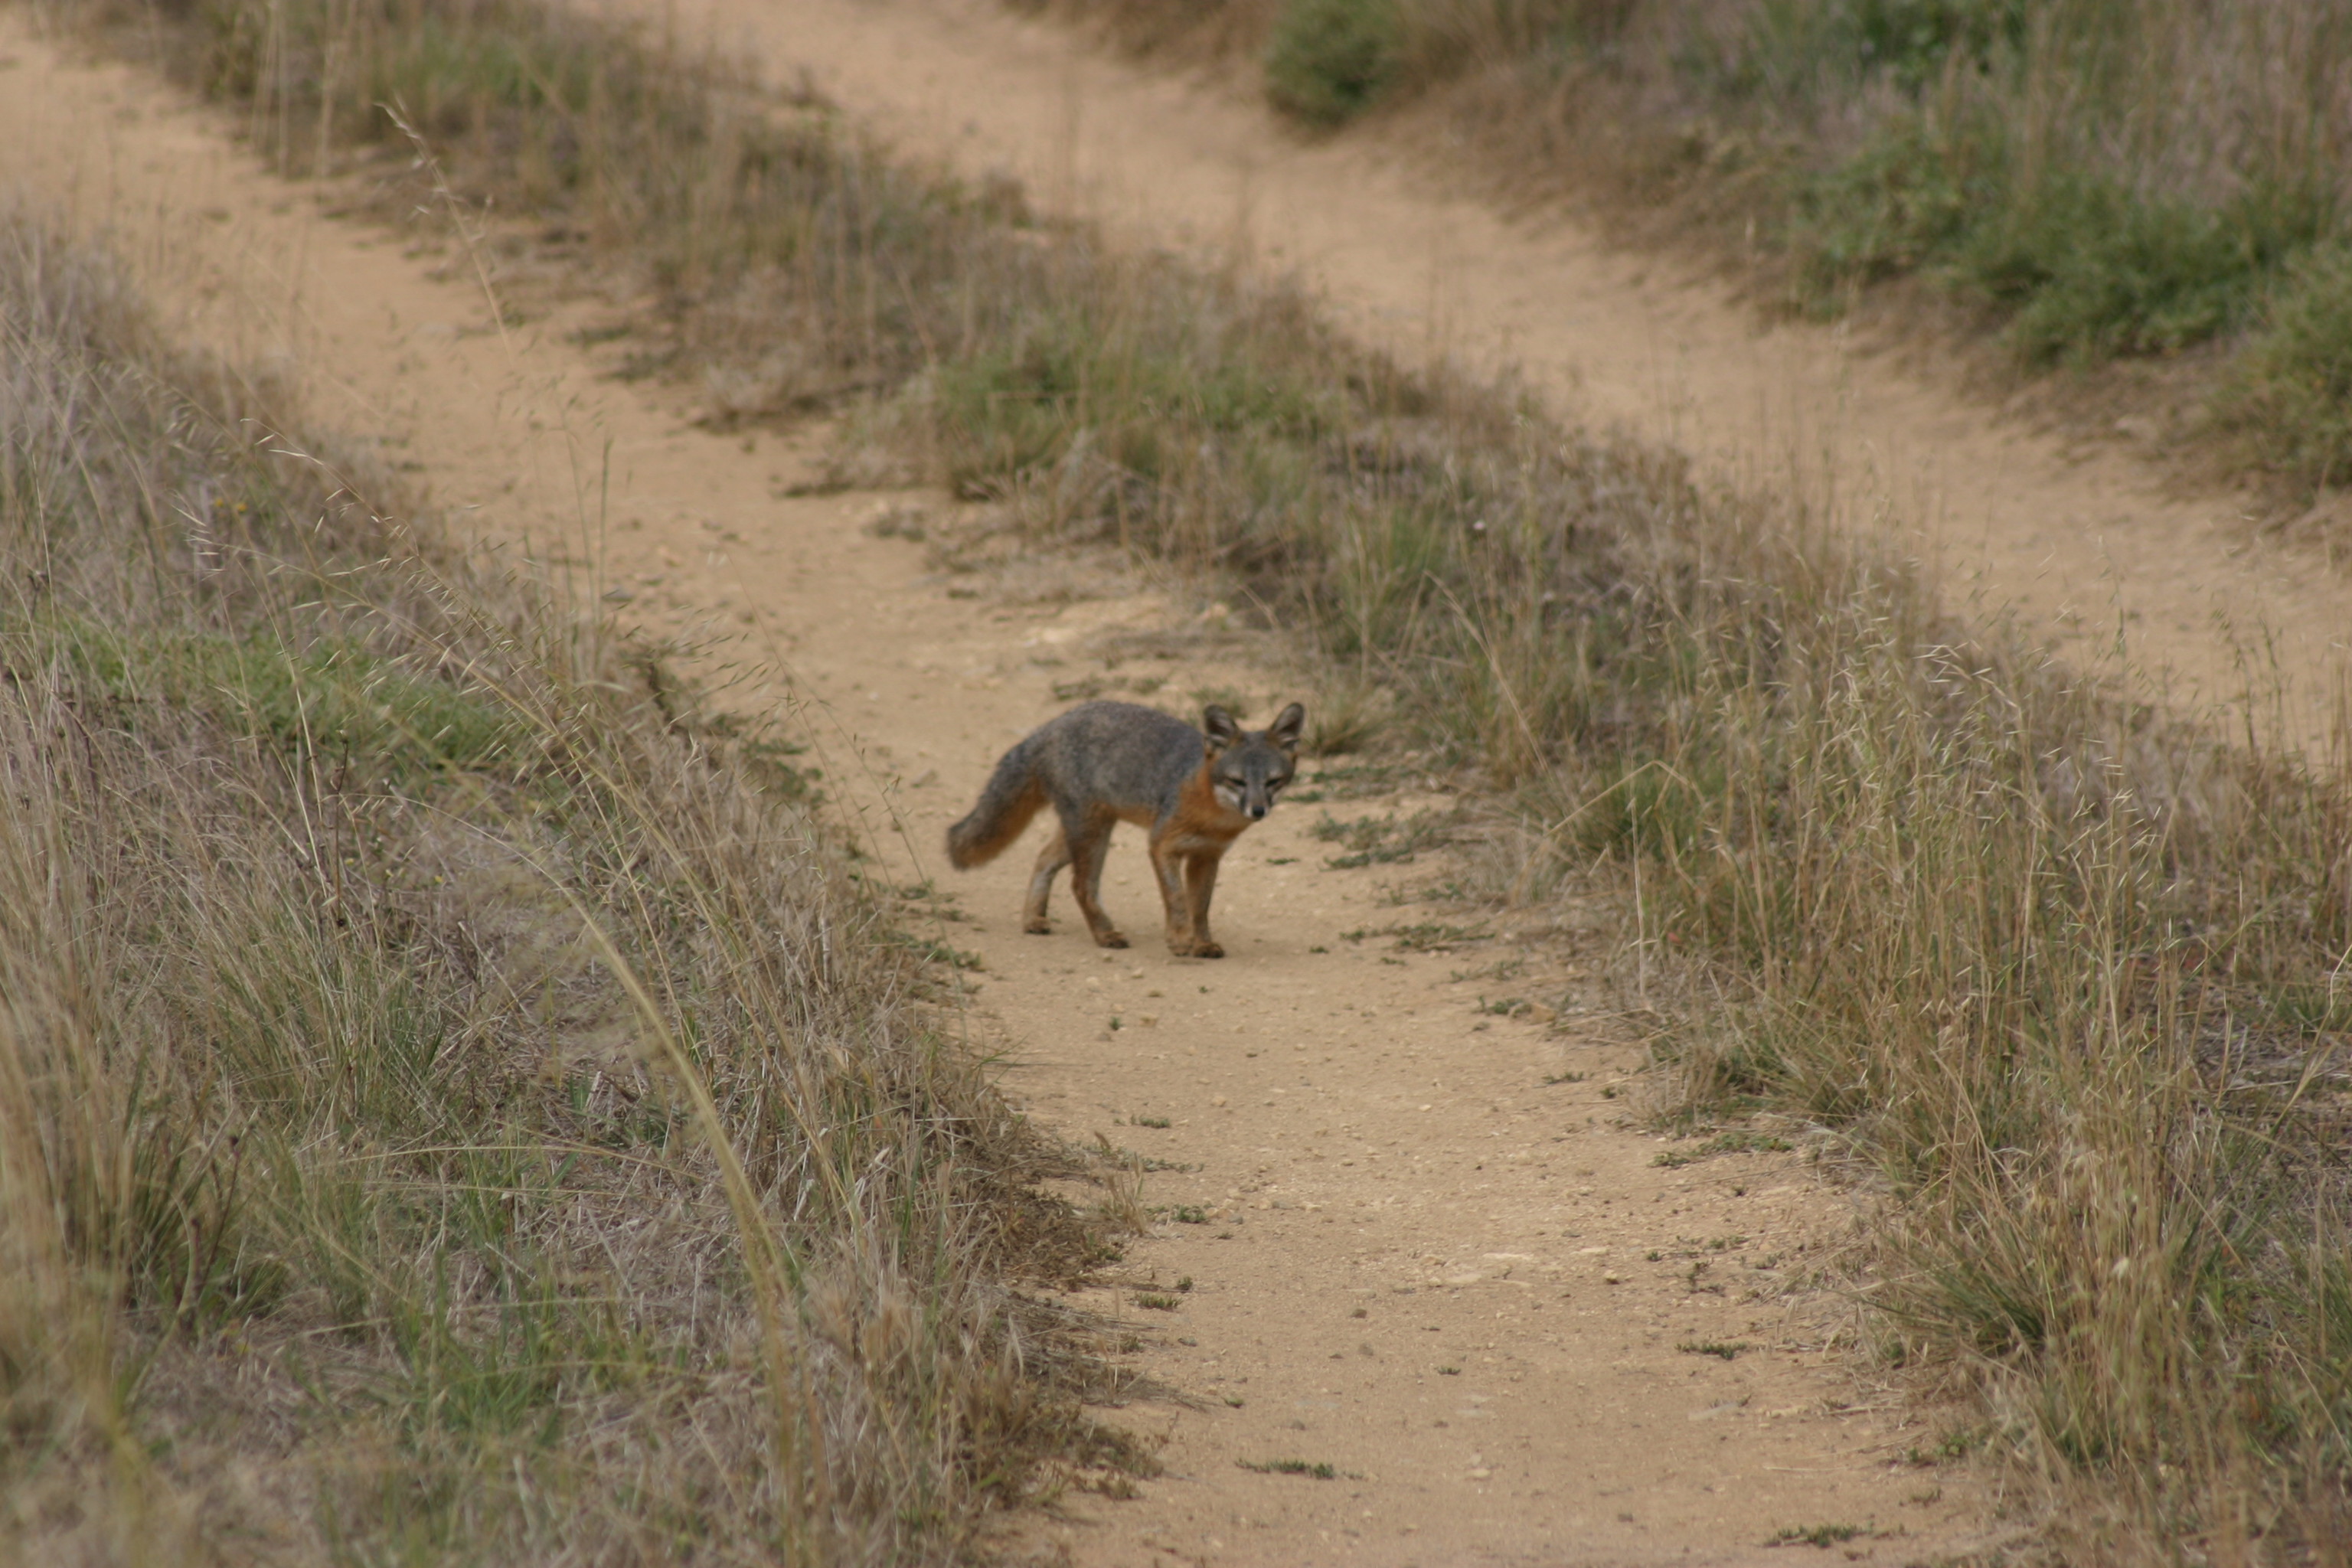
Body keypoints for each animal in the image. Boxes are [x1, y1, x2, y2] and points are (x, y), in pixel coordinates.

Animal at [946, 699, 1306, 958]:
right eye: (1237, 782)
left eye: (1274, 782)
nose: (1258, 810)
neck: (1211, 813)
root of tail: (1052, 724)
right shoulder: (1161, 845)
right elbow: (1177, 900)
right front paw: (1179, 940)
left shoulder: (1207, 856)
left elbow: (1200, 908)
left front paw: (1203, 943)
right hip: (1092, 836)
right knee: (1081, 885)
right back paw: (1105, 934)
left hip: (1086, 832)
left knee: (1044, 858)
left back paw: (1033, 919)